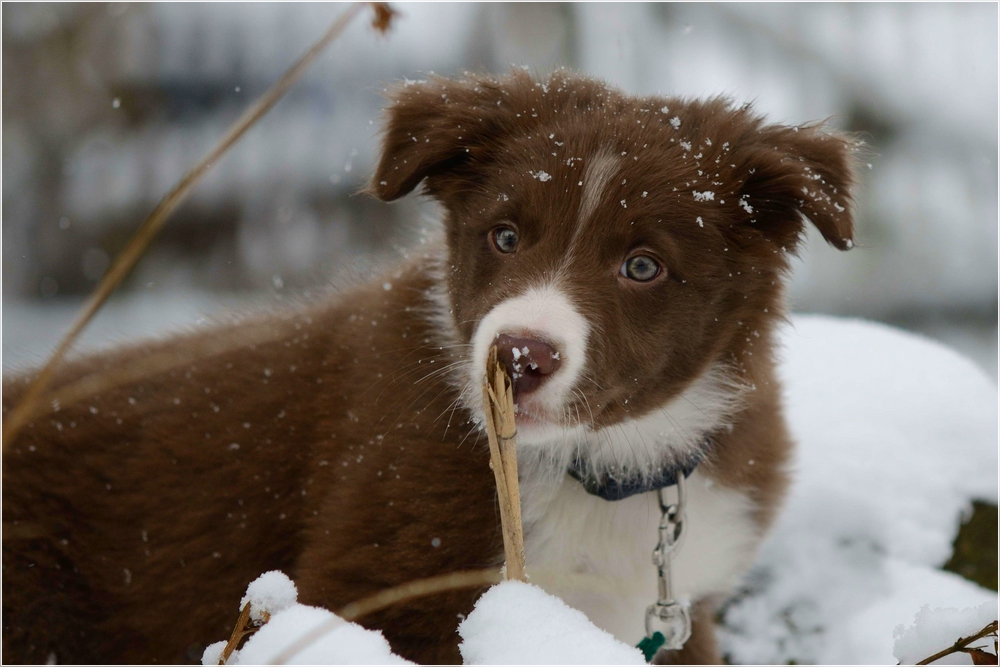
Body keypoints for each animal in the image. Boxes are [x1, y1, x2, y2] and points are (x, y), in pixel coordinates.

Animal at [3, 70, 856, 664]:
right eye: (505, 237)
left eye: (643, 266)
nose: (517, 356)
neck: (599, 463)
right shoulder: (379, 584)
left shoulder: (682, 612)